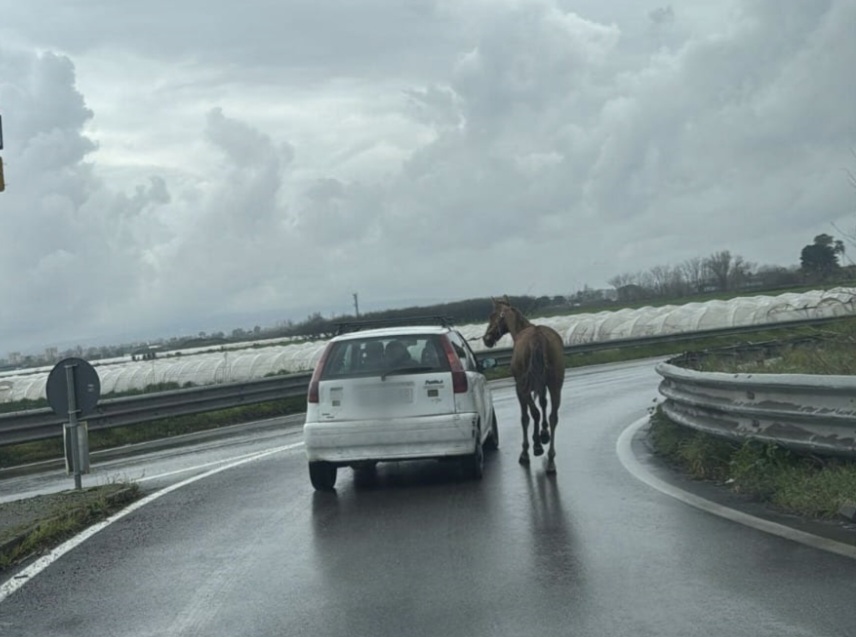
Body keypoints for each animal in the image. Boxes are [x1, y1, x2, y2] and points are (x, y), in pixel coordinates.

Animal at [484, 294, 564, 472]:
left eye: (492, 315)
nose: (486, 339)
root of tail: (537, 337)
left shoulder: (520, 388)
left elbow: (526, 417)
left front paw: (530, 448)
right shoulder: (541, 386)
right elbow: (543, 404)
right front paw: (543, 433)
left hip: (524, 386)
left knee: (533, 413)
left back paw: (537, 449)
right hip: (556, 385)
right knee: (553, 416)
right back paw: (551, 458)